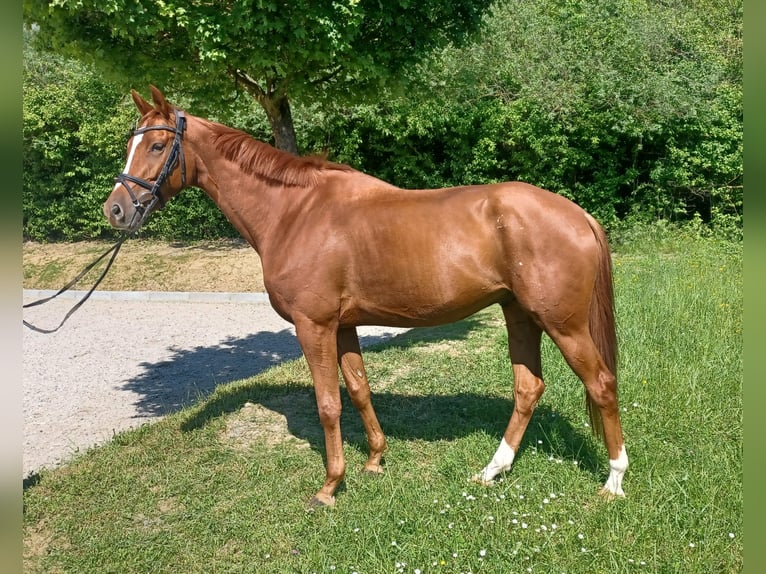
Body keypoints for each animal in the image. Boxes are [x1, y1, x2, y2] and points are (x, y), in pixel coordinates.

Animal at [103, 86, 632, 508]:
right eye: (131, 143)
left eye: (157, 144)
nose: (116, 209)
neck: (294, 211)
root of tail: (578, 215)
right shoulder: (343, 325)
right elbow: (358, 388)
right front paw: (375, 459)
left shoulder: (313, 325)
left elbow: (328, 403)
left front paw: (329, 487)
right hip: (520, 315)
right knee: (528, 388)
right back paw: (492, 470)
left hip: (562, 324)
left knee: (601, 384)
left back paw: (613, 481)